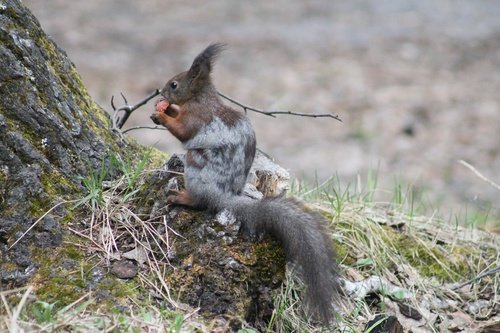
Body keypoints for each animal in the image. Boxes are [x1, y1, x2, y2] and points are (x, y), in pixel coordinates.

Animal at [150, 42, 342, 322]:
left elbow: (183, 130)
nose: (160, 91)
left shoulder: (197, 117)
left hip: (195, 164)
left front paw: (162, 116)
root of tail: (223, 195)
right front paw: (165, 108)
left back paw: (182, 197)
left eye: (174, 84)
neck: (199, 98)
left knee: (200, 201)